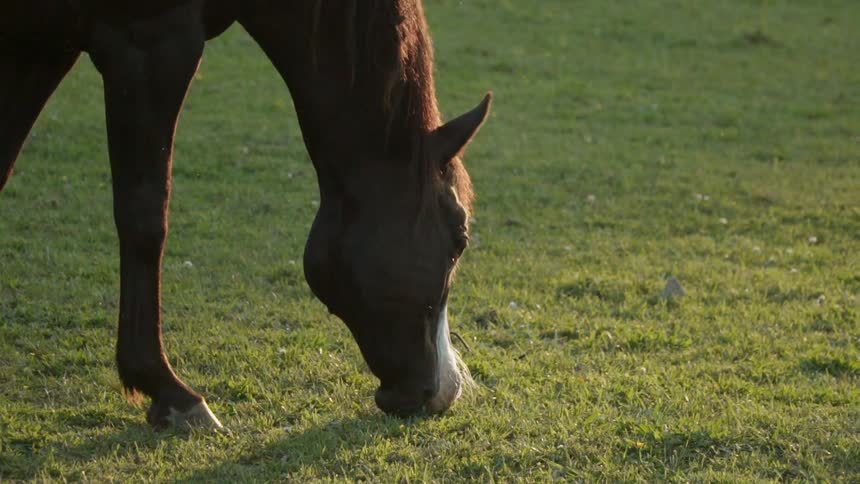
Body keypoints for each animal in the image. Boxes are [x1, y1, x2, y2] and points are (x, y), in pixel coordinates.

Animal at [0, 0, 491, 429]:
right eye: (459, 239)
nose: (445, 391)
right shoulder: (148, 43)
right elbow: (145, 217)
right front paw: (168, 390)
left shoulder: (41, 47)